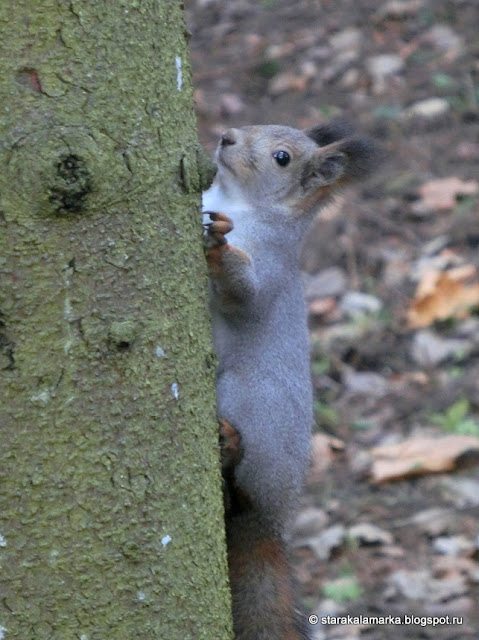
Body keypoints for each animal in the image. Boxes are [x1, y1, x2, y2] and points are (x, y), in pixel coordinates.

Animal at [201, 121, 376, 640]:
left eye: (282, 158)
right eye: (251, 126)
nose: (227, 137)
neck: (239, 202)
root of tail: (271, 524)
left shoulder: (272, 265)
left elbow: (246, 295)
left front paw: (219, 249)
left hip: (251, 398)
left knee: (241, 494)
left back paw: (230, 451)